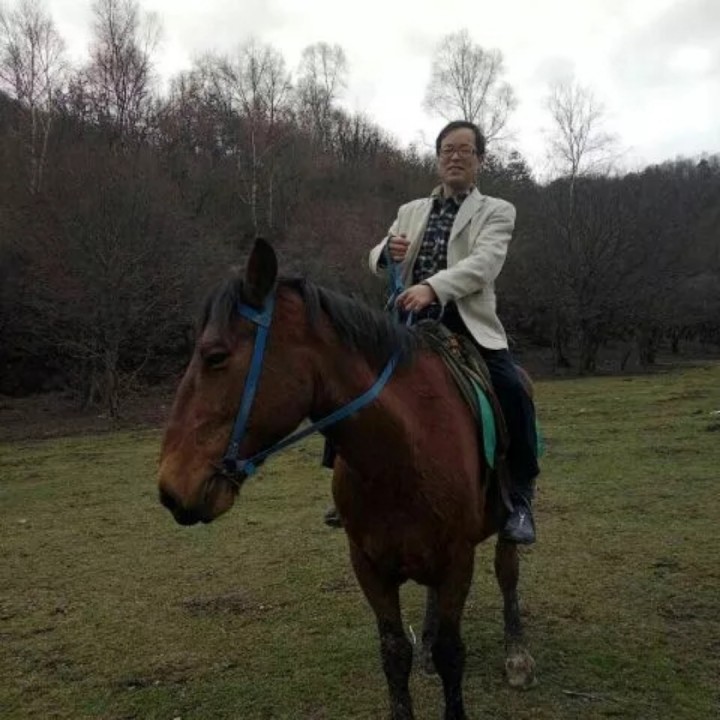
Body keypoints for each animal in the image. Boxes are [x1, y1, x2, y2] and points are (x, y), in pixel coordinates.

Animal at [157, 238, 536, 720]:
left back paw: (517, 655)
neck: (402, 455)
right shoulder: (370, 567)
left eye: (216, 357)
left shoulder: (457, 560)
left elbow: (453, 654)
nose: (170, 488)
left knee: (508, 573)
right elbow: (395, 654)